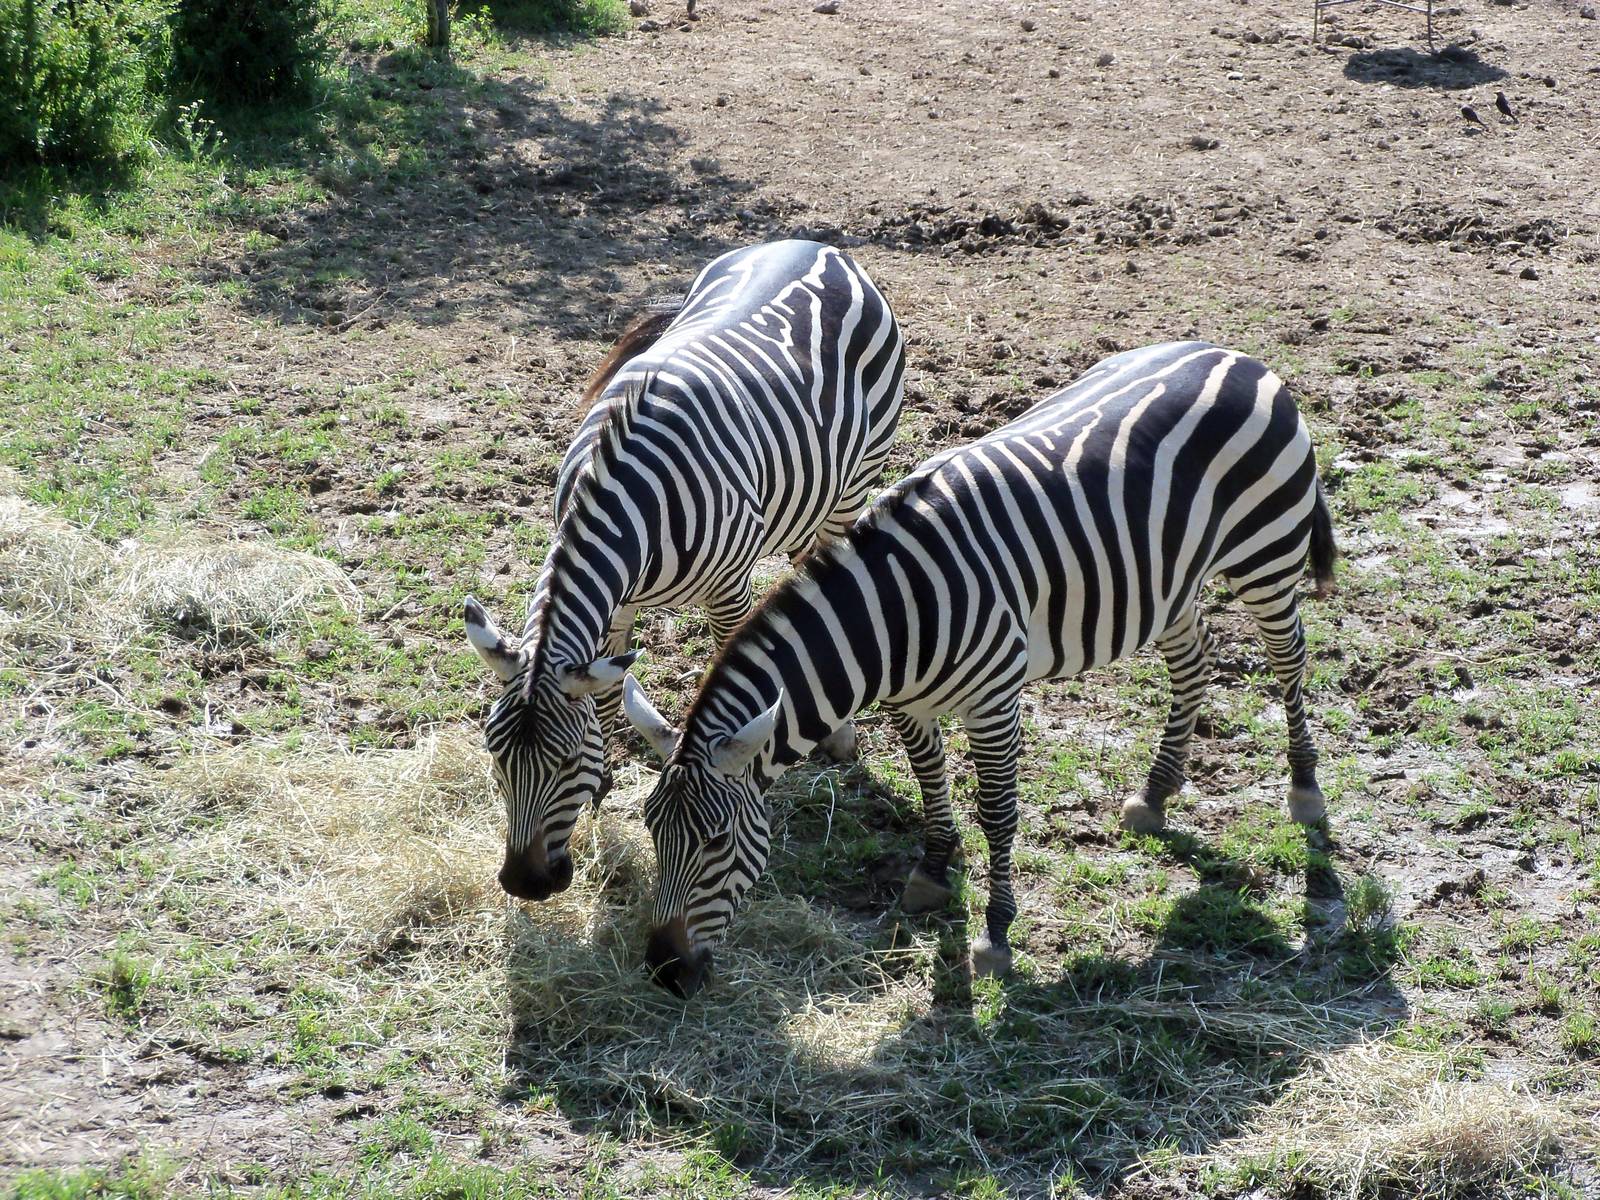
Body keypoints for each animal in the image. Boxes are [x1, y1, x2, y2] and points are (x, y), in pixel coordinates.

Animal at [463, 240, 906, 902]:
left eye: (563, 762)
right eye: (495, 755)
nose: (524, 884)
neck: (627, 500)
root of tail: (816, 245)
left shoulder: (727, 591)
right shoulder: (615, 605)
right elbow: (610, 691)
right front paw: (607, 782)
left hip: (857, 477)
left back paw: (841, 737)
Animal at [622, 341, 1336, 997]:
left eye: (716, 843)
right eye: (652, 830)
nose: (663, 970)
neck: (895, 616)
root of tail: (1237, 355)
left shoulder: (994, 701)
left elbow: (997, 812)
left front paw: (994, 936)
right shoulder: (909, 703)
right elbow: (931, 782)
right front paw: (934, 871)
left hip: (1267, 554)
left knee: (1290, 659)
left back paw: (1305, 792)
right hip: (1167, 579)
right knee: (1194, 657)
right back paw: (1156, 794)